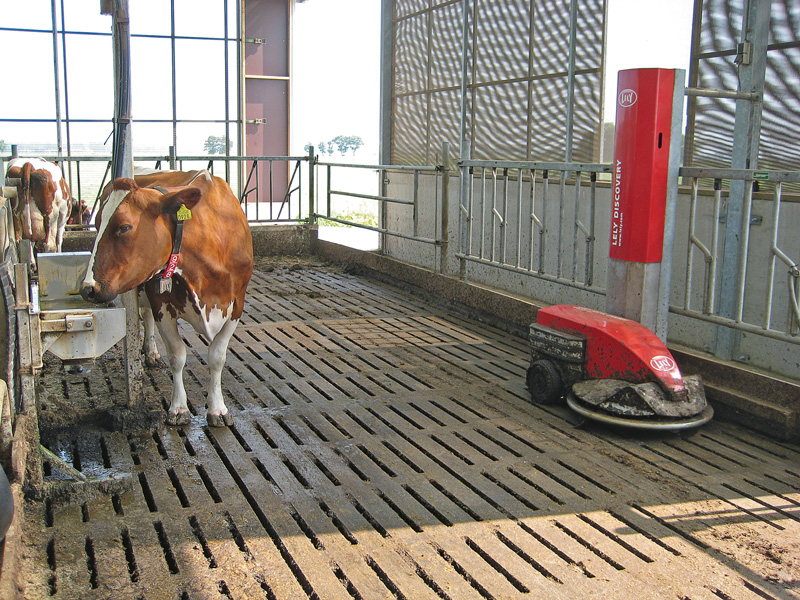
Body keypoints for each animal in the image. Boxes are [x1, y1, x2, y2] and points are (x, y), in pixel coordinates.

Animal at [81, 169, 253, 426]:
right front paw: (179, 408)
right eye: (97, 222)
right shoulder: (161, 303)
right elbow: (177, 355)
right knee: (143, 317)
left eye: (124, 227)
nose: (88, 288)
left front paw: (217, 409)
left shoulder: (236, 306)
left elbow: (217, 357)